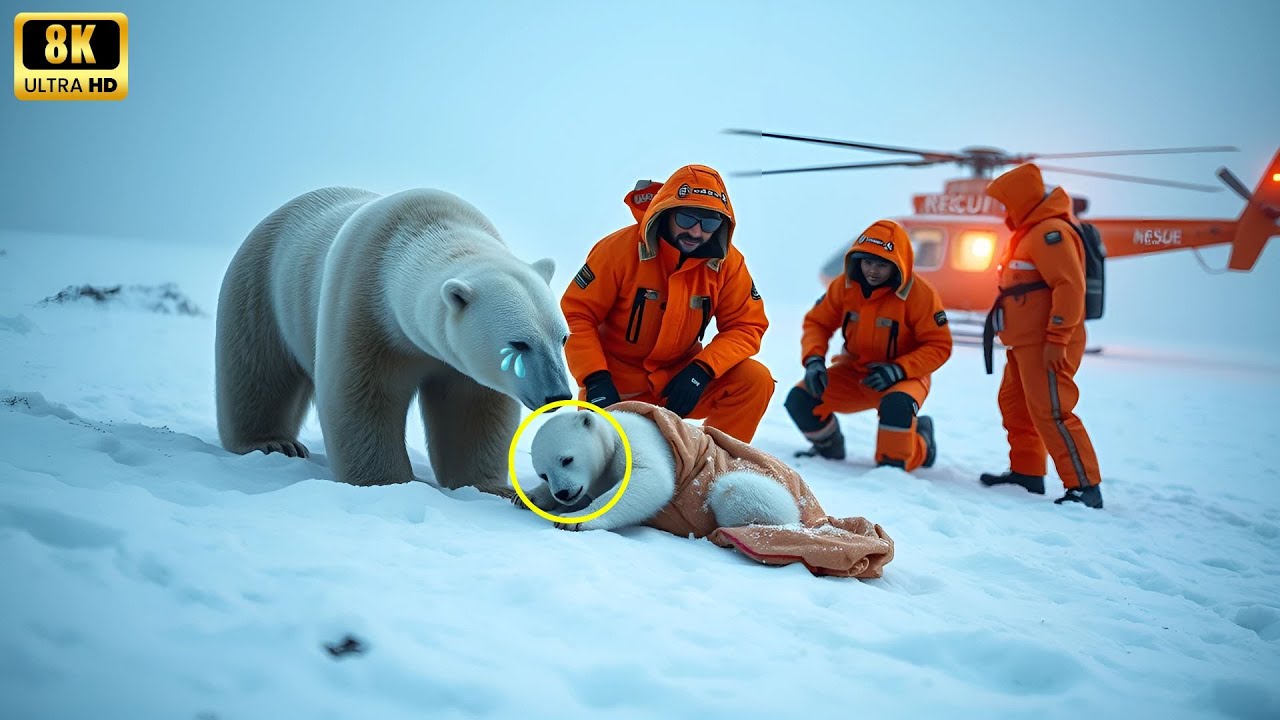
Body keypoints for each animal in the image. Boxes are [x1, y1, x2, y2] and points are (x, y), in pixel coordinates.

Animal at [216, 186, 573, 490]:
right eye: (518, 343)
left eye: (562, 338)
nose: (557, 395)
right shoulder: (362, 310)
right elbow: (362, 395)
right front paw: (386, 482)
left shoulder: (457, 361)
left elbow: (471, 408)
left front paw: (488, 487)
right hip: (261, 288)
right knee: (258, 369)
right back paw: (273, 441)